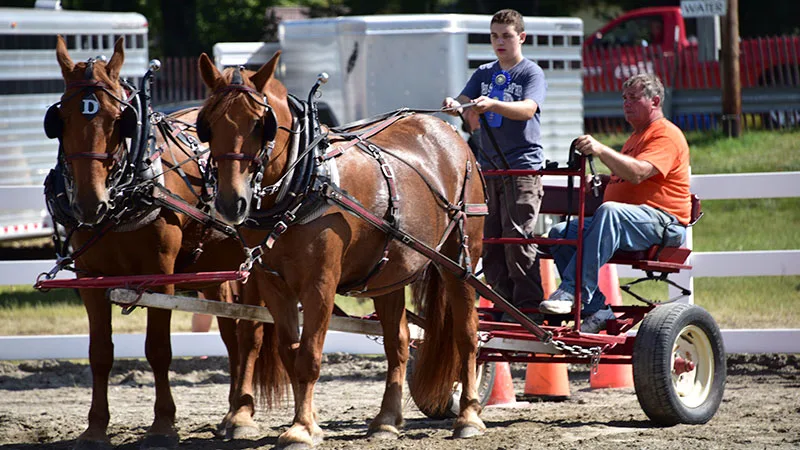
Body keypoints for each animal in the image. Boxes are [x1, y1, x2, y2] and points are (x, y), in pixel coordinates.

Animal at [44, 37, 282, 450]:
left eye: (118, 118)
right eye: (61, 118)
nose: (89, 202)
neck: (126, 194)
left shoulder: (159, 276)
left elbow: (157, 349)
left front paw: (163, 424)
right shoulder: (90, 279)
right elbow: (99, 353)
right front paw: (95, 428)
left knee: (250, 334)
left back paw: (242, 416)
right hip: (216, 272)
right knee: (230, 334)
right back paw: (231, 411)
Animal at [196, 51, 488, 447]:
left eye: (260, 124)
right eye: (208, 125)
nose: (231, 202)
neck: (303, 182)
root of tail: (448, 132)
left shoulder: (320, 283)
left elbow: (309, 356)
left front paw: (302, 430)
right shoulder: (275, 285)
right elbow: (290, 354)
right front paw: (308, 421)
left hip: (460, 260)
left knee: (467, 335)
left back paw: (469, 416)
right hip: (389, 272)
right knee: (398, 343)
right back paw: (386, 420)